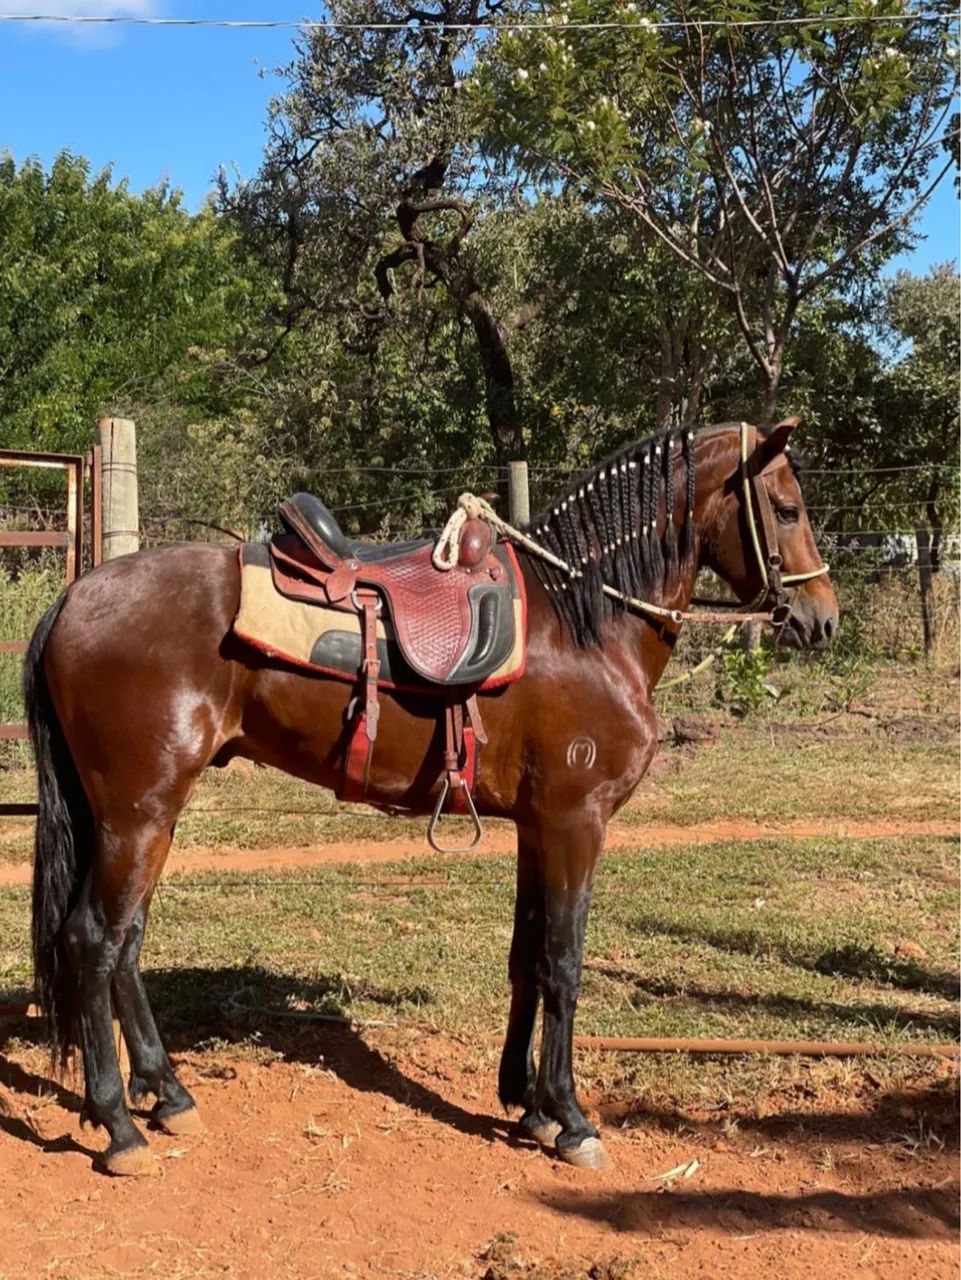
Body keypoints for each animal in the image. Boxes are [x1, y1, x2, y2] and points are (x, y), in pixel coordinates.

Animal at [24, 417, 837, 1176]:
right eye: (788, 508)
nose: (823, 618)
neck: (583, 625)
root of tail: (76, 597)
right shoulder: (576, 822)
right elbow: (565, 961)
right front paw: (570, 1118)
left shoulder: (538, 827)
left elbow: (526, 955)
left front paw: (526, 1104)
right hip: (138, 815)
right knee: (93, 940)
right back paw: (119, 1125)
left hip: (141, 817)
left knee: (126, 944)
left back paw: (167, 1094)